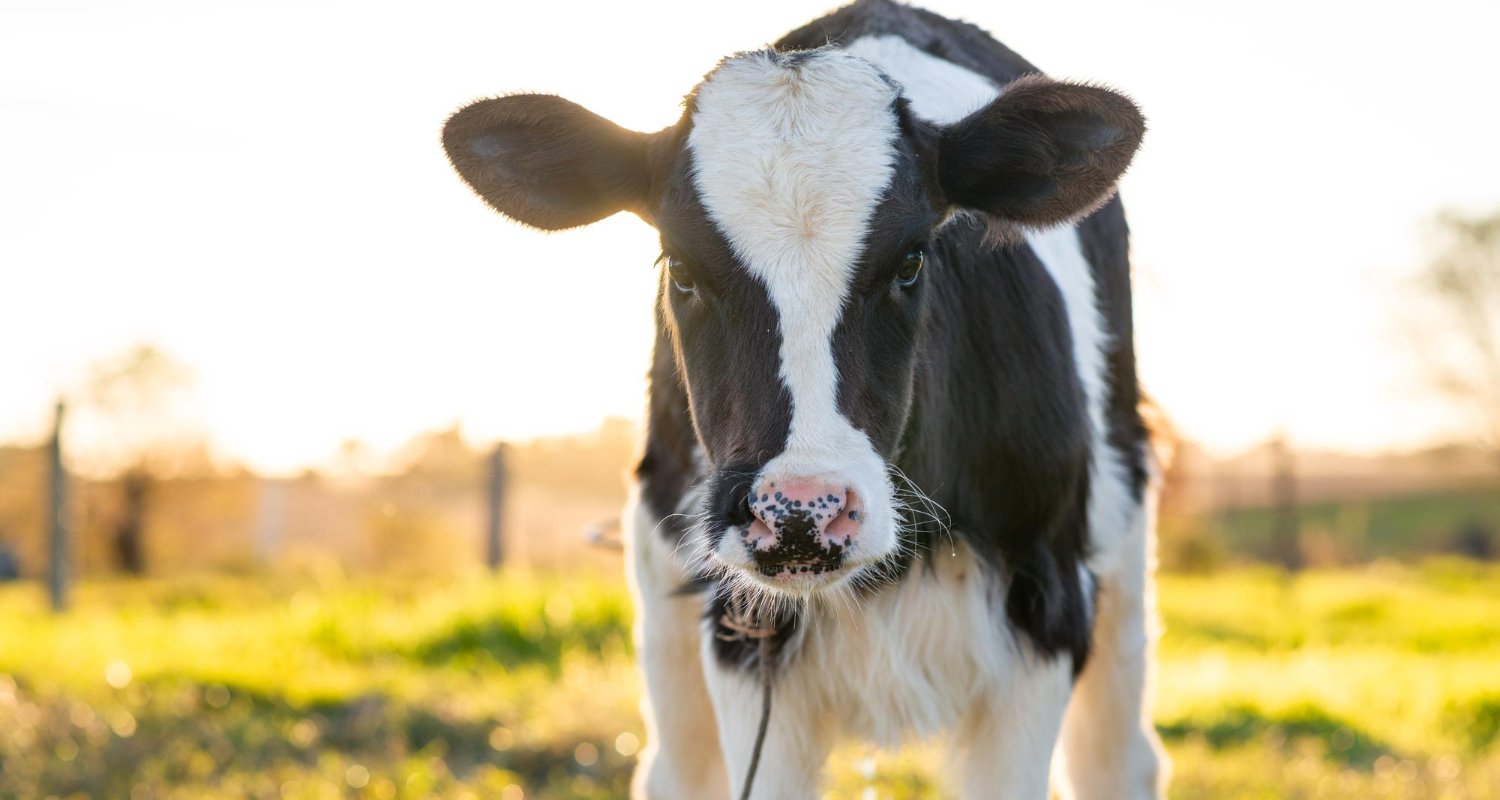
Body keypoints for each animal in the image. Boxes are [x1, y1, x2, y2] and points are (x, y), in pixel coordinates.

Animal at [438, 0, 1164, 792]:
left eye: (912, 260)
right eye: (680, 268)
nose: (800, 513)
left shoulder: (1046, 617)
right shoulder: (739, 636)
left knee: (1116, 760)